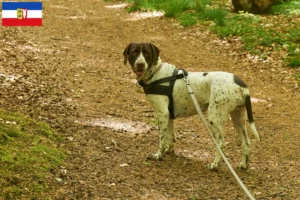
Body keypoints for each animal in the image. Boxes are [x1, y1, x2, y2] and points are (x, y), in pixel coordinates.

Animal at [123, 42, 258, 170]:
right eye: (134, 52)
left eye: (146, 53)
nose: (140, 64)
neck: (156, 73)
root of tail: (241, 85)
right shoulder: (168, 115)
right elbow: (170, 136)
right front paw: (168, 151)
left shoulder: (162, 113)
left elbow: (161, 138)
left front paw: (158, 155)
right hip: (237, 118)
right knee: (246, 142)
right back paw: (244, 165)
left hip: (214, 117)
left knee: (221, 143)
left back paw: (214, 165)